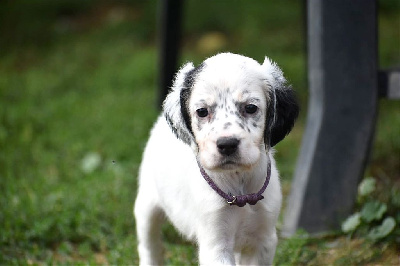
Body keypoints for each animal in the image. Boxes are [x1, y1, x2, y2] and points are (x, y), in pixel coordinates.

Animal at [134, 53, 296, 264]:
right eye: (202, 111)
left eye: (251, 108)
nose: (227, 144)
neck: (239, 187)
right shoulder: (216, 243)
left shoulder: (263, 239)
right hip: (147, 207)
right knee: (149, 246)